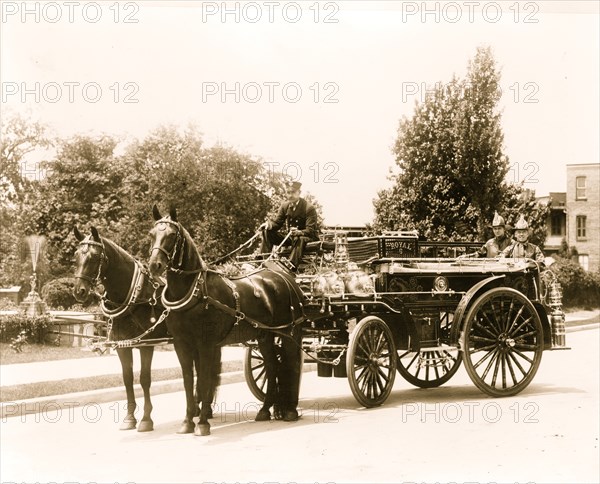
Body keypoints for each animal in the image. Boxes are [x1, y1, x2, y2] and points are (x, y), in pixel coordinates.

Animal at [74, 226, 171, 432]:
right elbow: (127, 379)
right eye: (75, 255)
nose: (79, 291)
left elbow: (144, 379)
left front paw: (146, 419)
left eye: (95, 257)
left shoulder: (146, 344)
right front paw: (129, 418)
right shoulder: (122, 345)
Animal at [146, 206, 304, 436]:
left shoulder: (206, 344)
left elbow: (204, 379)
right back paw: (265, 410)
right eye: (151, 235)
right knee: (272, 365)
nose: (154, 265)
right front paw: (188, 421)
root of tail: (282, 275)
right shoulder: (181, 344)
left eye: (172, 235)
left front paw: (203, 423)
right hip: (265, 335)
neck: (194, 291)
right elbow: (188, 380)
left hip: (289, 332)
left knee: (292, 363)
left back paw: (290, 410)